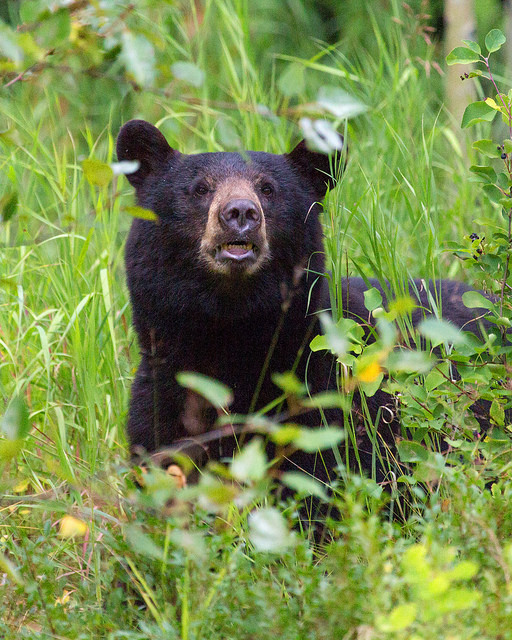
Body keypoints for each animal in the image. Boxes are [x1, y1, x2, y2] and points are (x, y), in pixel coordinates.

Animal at [116, 119, 492, 483]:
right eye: (200, 188)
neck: (232, 328)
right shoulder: (162, 391)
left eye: (267, 189)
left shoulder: (335, 398)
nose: (240, 212)